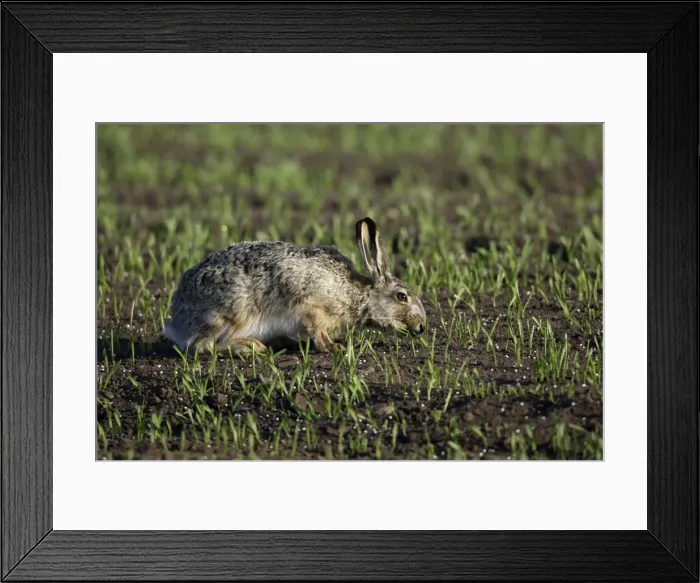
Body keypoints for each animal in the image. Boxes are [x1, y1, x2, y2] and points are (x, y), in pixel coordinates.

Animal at [162, 217, 427, 355]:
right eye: (402, 297)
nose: (422, 327)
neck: (359, 295)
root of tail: (178, 322)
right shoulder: (312, 308)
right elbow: (318, 331)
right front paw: (335, 347)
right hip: (232, 313)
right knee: (203, 345)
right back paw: (252, 347)